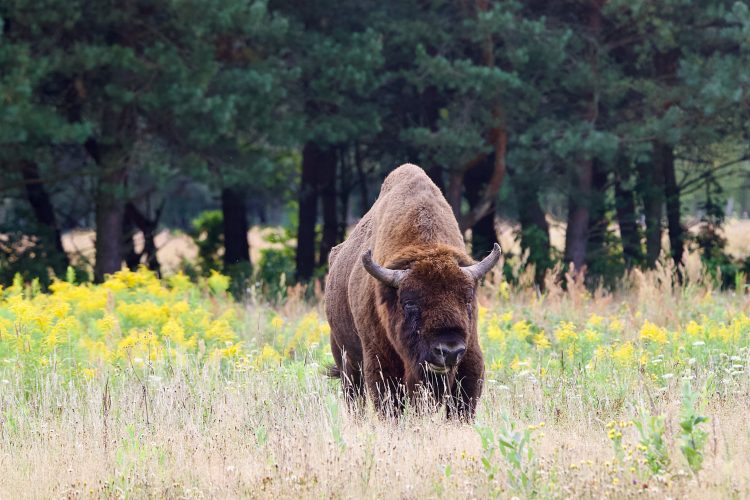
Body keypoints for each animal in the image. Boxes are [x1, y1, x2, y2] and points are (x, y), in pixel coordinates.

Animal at [325, 164, 501, 419]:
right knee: (354, 396)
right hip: (346, 359)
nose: (448, 351)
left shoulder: (470, 358)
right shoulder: (380, 364)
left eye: (468, 300)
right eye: (409, 304)